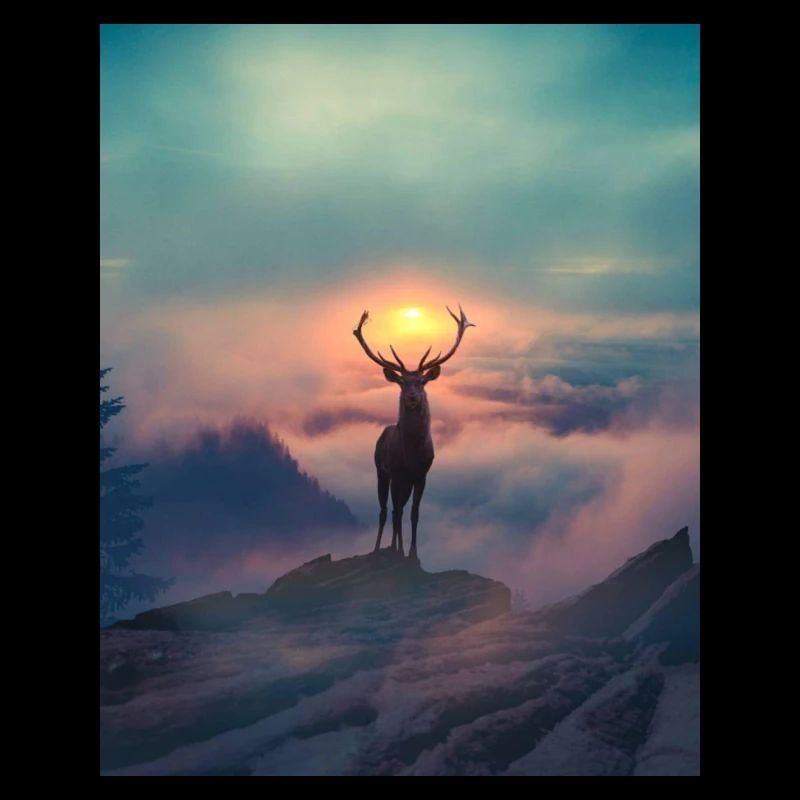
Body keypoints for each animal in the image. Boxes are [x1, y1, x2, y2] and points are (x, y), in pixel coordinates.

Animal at [353, 305, 476, 562]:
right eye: (401, 382)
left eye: (422, 382)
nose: (412, 397)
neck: (412, 455)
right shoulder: (397, 472)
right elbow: (397, 512)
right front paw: (399, 550)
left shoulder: (421, 475)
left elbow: (414, 513)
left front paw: (412, 553)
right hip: (381, 471)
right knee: (385, 510)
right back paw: (380, 548)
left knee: (396, 509)